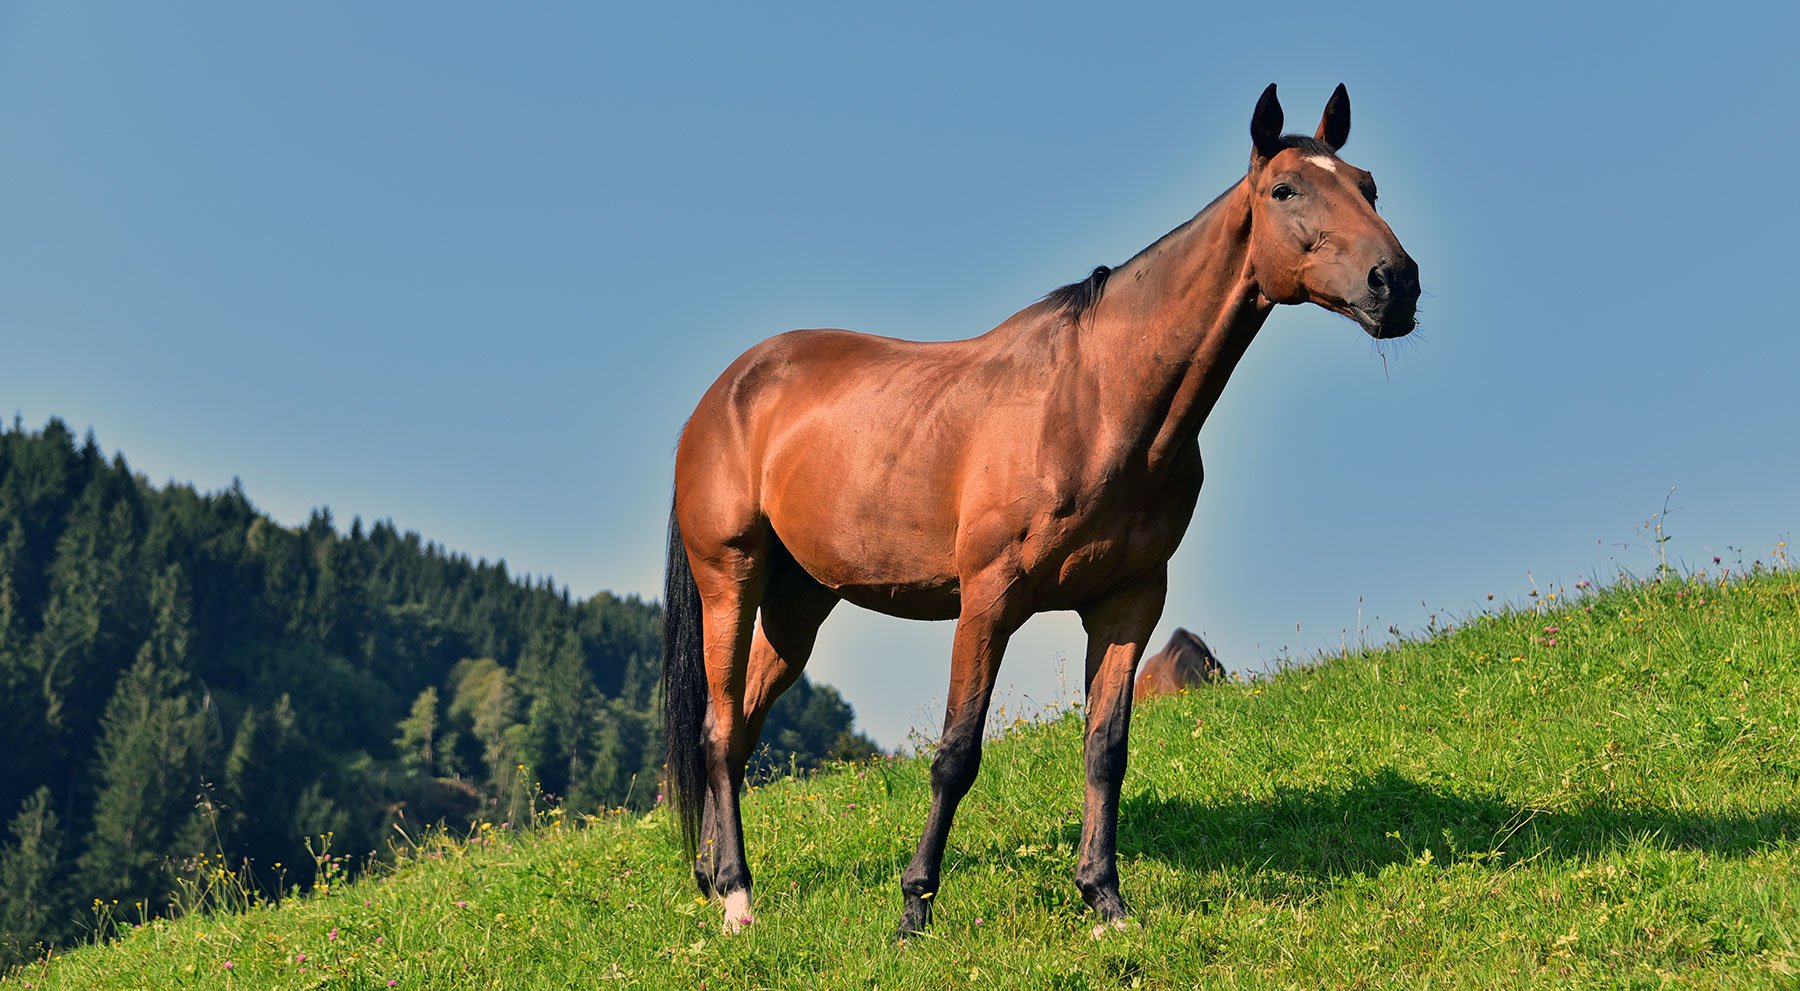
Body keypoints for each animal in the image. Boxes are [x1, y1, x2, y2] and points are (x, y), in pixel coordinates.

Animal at [662, 83, 1418, 935]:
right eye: (1285, 190)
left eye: (1368, 185)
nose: (1396, 282)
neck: (1100, 398)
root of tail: (723, 394)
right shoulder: (988, 599)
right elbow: (957, 753)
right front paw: (915, 905)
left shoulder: (1128, 601)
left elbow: (1106, 748)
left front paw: (1105, 898)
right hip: (732, 578)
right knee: (720, 729)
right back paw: (737, 898)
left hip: (799, 603)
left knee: (742, 727)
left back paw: (711, 874)